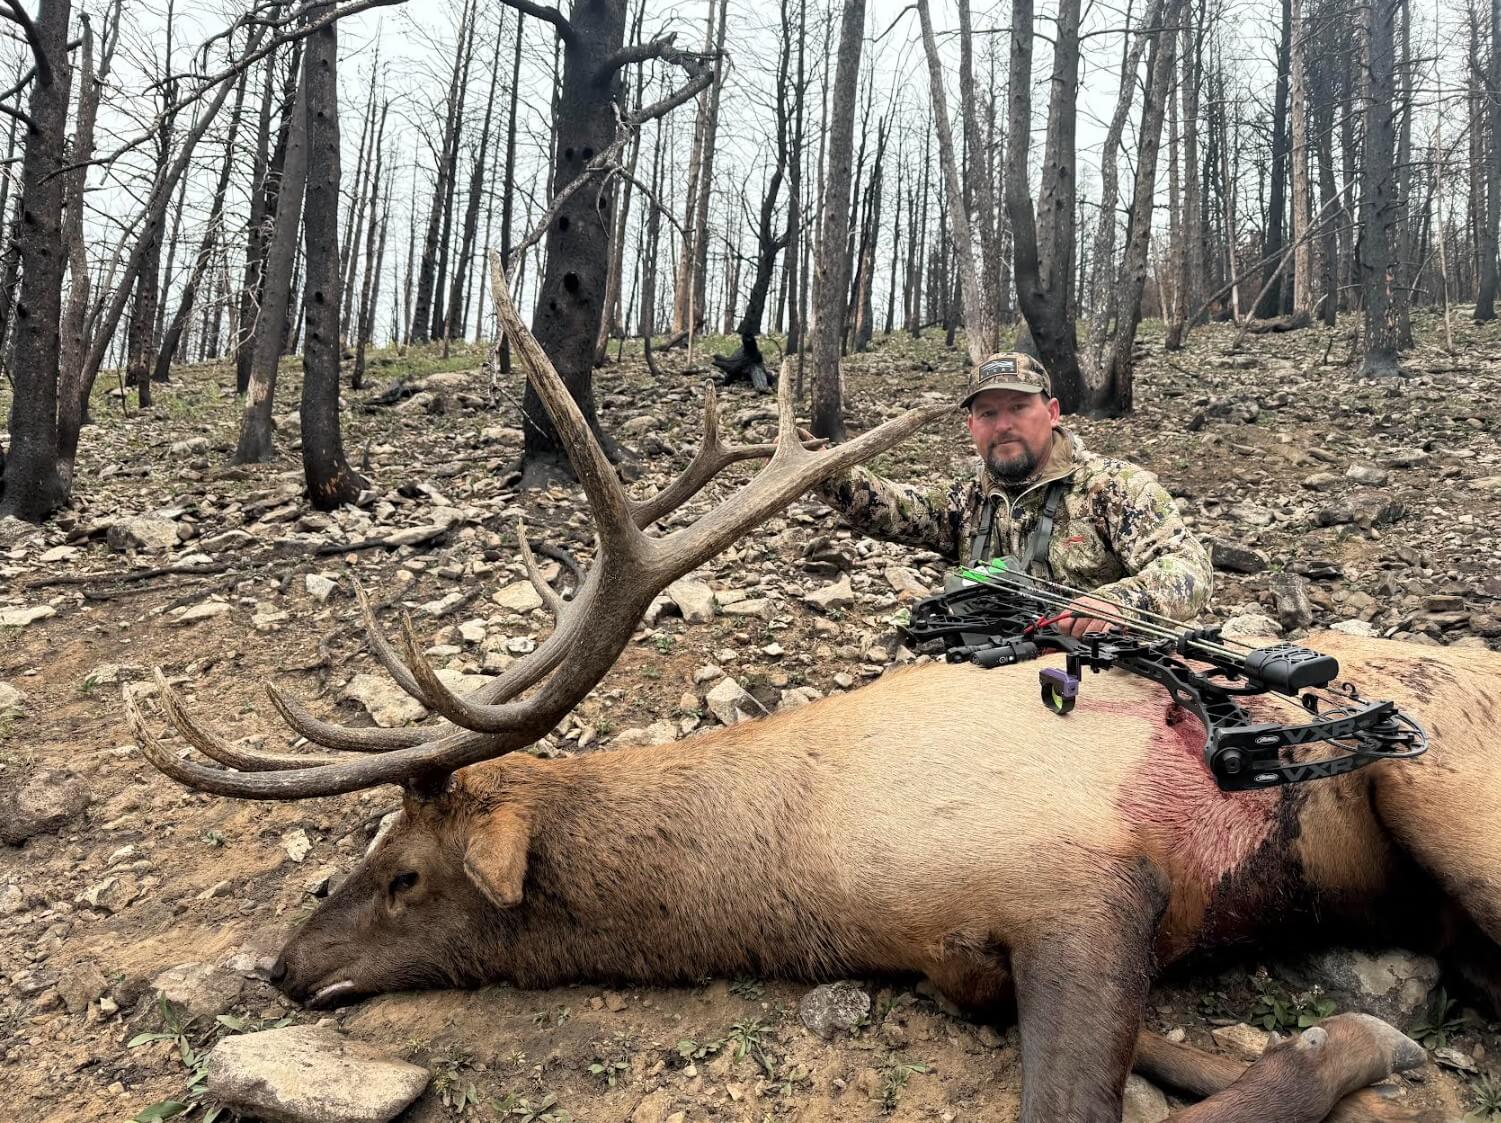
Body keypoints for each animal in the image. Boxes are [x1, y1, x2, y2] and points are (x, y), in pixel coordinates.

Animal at [124, 267, 1496, 1123]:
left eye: (406, 871)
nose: (288, 967)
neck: (823, 869)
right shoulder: (975, 959)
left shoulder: (1089, 888)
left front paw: (1364, 1042)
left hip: (1441, 789)